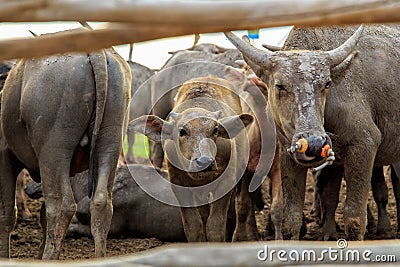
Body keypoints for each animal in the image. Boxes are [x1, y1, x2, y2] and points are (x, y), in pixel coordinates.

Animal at [0, 46, 131, 260]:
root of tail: (95, 53)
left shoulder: (5, 157)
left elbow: (7, 212)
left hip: (53, 154)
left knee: (62, 206)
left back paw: (48, 258)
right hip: (109, 145)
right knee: (101, 203)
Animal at [130, 75, 252, 243]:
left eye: (215, 130)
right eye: (182, 131)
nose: (205, 162)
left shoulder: (226, 183)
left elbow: (215, 226)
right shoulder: (179, 185)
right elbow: (193, 226)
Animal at [227, 25, 400, 242]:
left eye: (326, 83)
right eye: (280, 86)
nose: (315, 143)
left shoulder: (364, 146)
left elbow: (354, 217)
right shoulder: (288, 155)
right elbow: (291, 218)